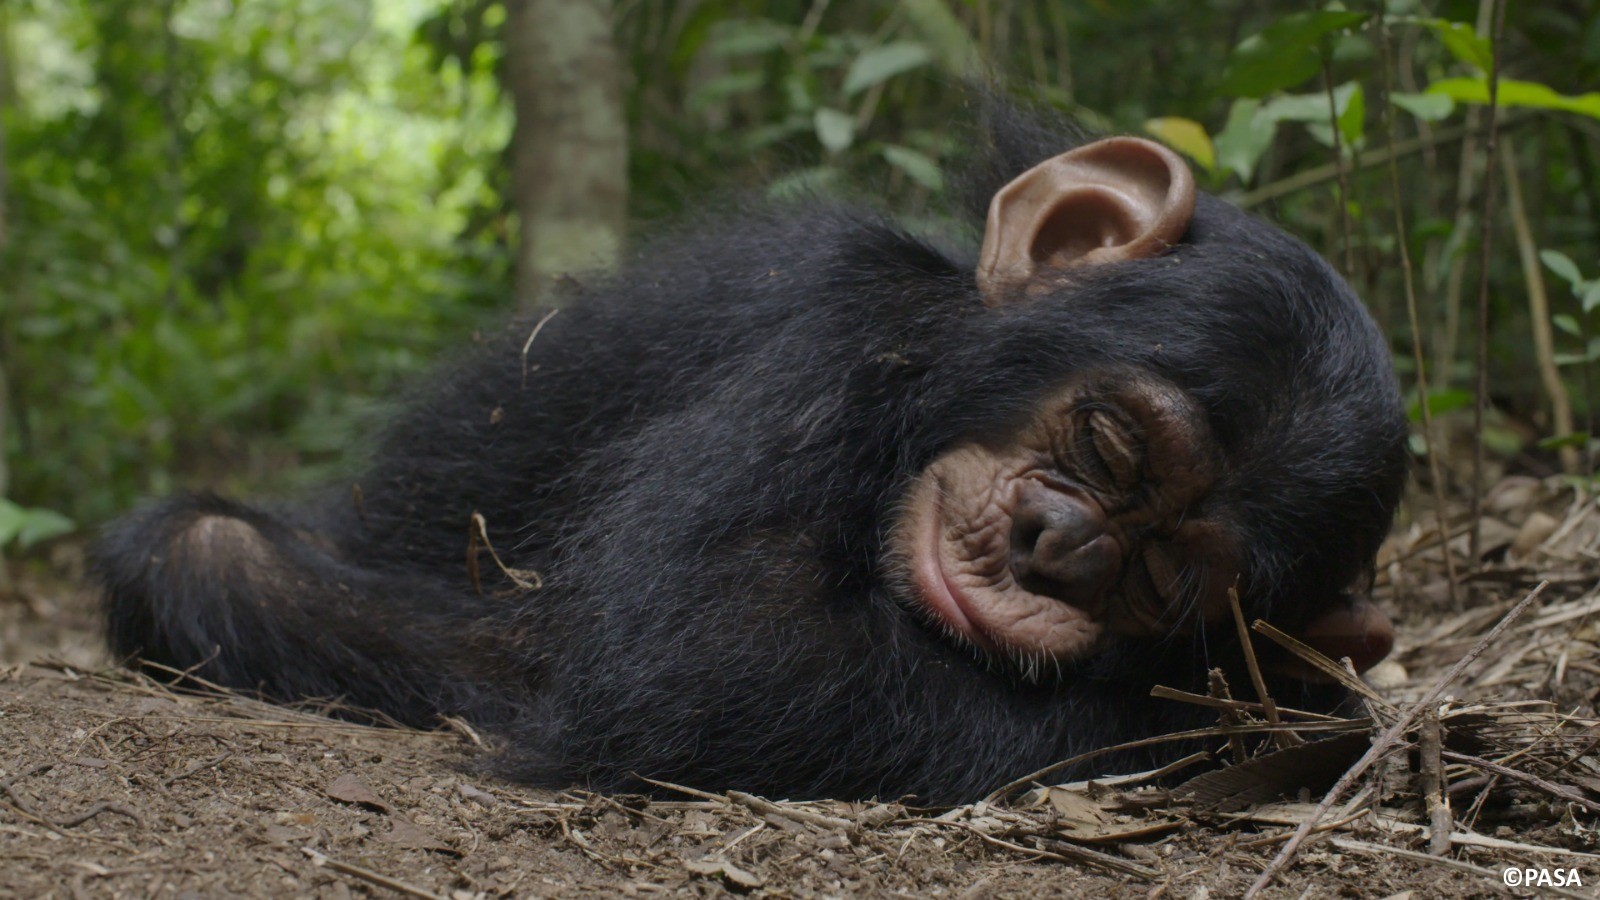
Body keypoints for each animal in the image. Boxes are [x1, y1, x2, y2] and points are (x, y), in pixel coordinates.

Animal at [93, 98, 1408, 797]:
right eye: (1108, 445)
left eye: (1156, 579)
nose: (1057, 545)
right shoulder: (830, 345)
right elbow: (709, 650)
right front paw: (1232, 712)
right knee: (207, 550)